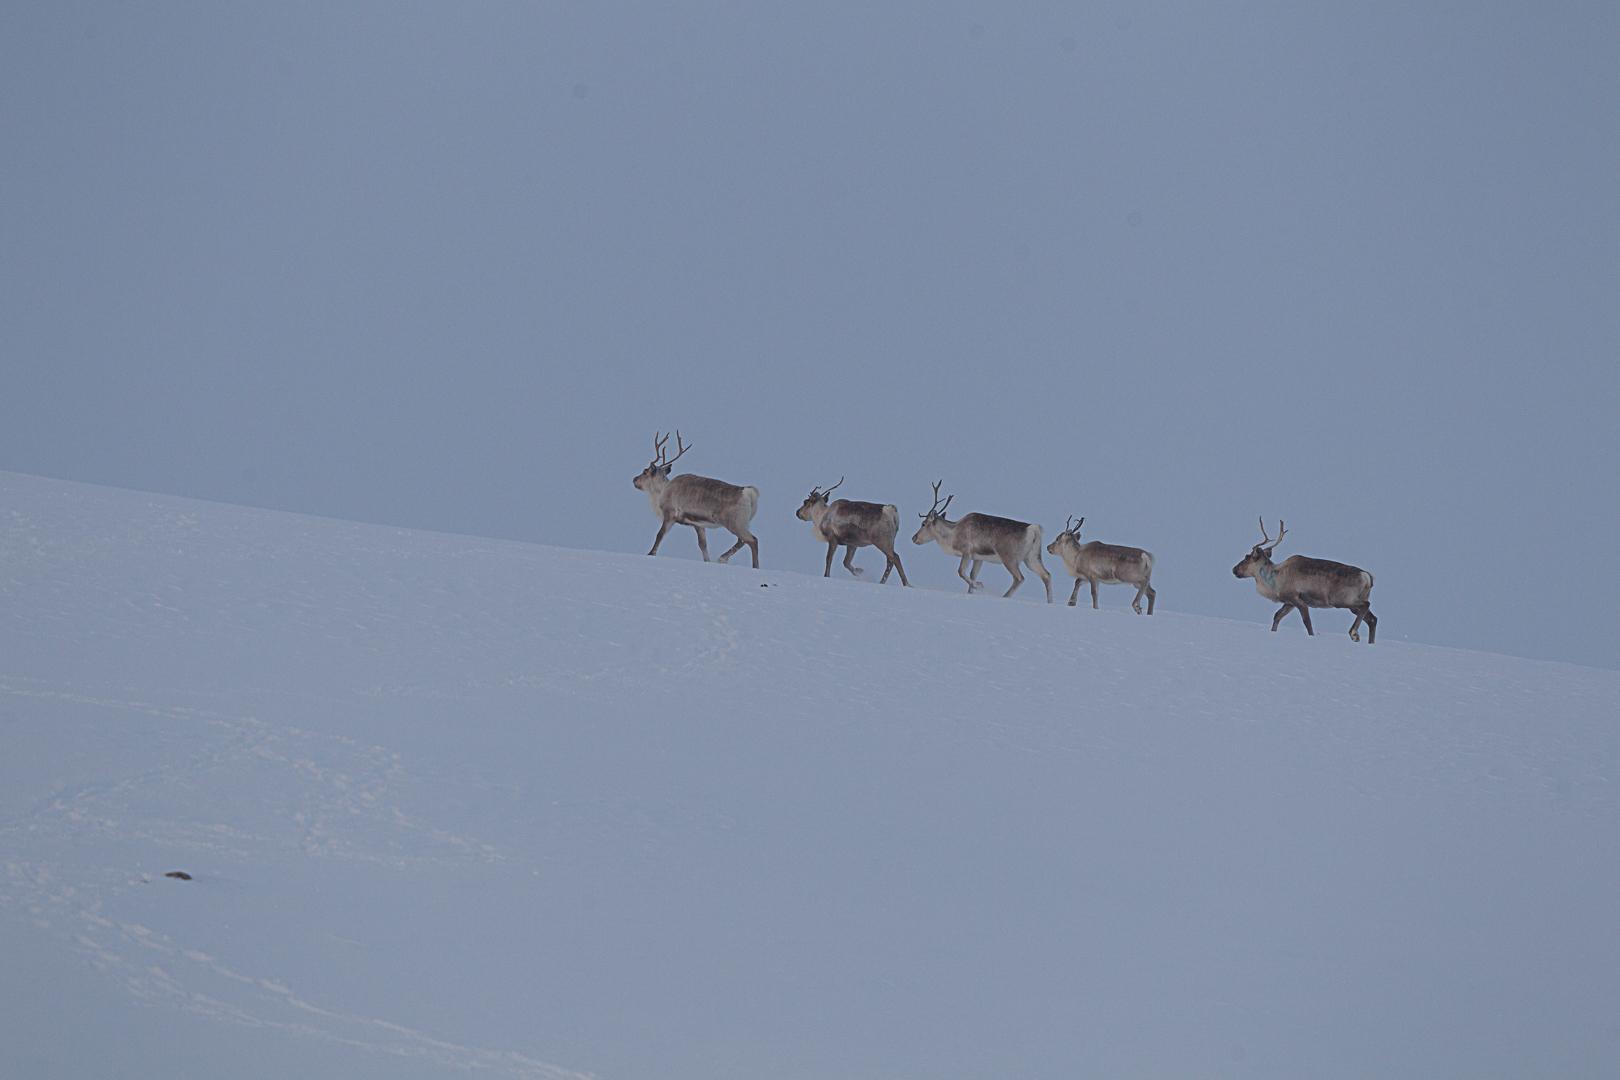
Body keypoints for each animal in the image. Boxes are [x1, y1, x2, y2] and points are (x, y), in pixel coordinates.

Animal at [632, 431, 760, 568]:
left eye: (645, 471)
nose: (634, 479)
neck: (661, 492)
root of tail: (747, 492)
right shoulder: (698, 524)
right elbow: (702, 544)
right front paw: (707, 561)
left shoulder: (670, 513)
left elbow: (660, 534)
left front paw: (650, 554)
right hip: (742, 522)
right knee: (742, 540)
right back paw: (722, 558)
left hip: (734, 522)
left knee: (752, 540)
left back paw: (753, 566)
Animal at [910, 481, 1052, 602]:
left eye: (923, 524)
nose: (914, 538)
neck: (952, 536)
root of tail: (1033, 530)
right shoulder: (978, 558)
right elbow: (972, 574)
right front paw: (971, 591)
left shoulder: (966, 550)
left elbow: (960, 572)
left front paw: (979, 585)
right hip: (1032, 557)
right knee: (1046, 575)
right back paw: (1049, 602)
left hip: (1008, 557)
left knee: (1019, 578)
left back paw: (1004, 597)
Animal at [1232, 518, 1376, 643]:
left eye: (1247, 557)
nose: (1234, 569)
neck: (1275, 579)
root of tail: (1366, 576)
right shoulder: (1289, 602)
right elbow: (1277, 616)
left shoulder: (1297, 599)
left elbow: (1307, 623)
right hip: (1355, 601)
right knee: (1372, 619)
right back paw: (1369, 642)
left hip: (1341, 599)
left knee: (1366, 605)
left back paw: (1354, 633)